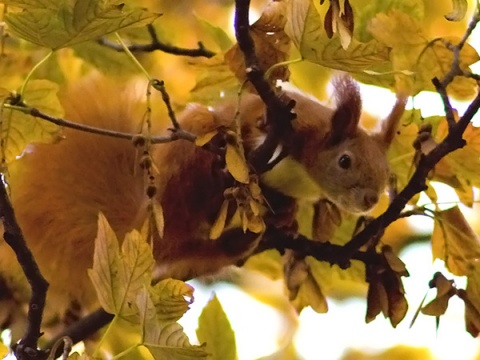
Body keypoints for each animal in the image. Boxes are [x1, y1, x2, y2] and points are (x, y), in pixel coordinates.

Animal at [0, 75, 404, 320]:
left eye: (386, 172)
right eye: (345, 161)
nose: (370, 199)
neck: (305, 173)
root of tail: (147, 225)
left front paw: (287, 221)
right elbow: (258, 118)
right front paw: (259, 128)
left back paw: (246, 236)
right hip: (185, 162)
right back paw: (220, 166)